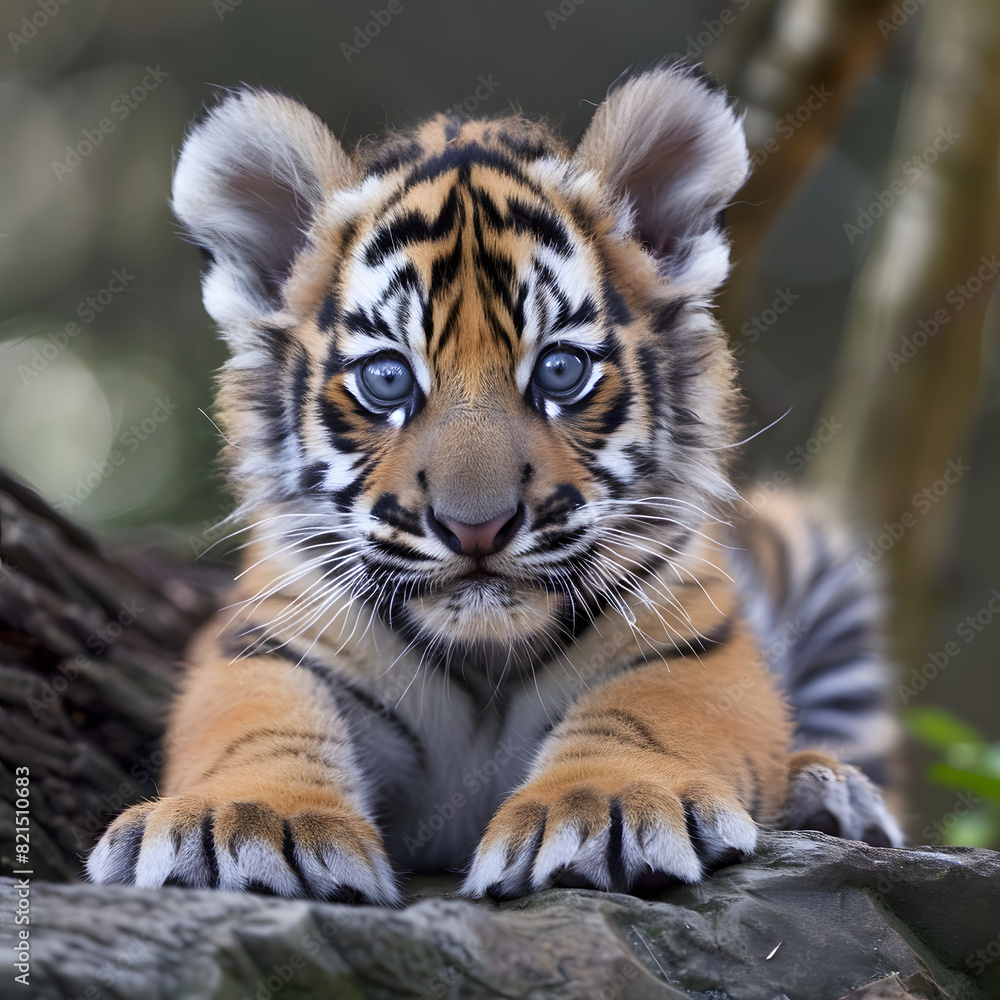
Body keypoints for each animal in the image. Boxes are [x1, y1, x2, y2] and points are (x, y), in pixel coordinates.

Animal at [87, 62, 902, 905]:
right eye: (387, 379)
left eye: (561, 370)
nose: (475, 527)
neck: (485, 655)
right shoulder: (270, 641)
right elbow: (256, 722)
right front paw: (237, 822)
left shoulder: (694, 637)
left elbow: (649, 709)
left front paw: (603, 806)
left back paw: (832, 793)